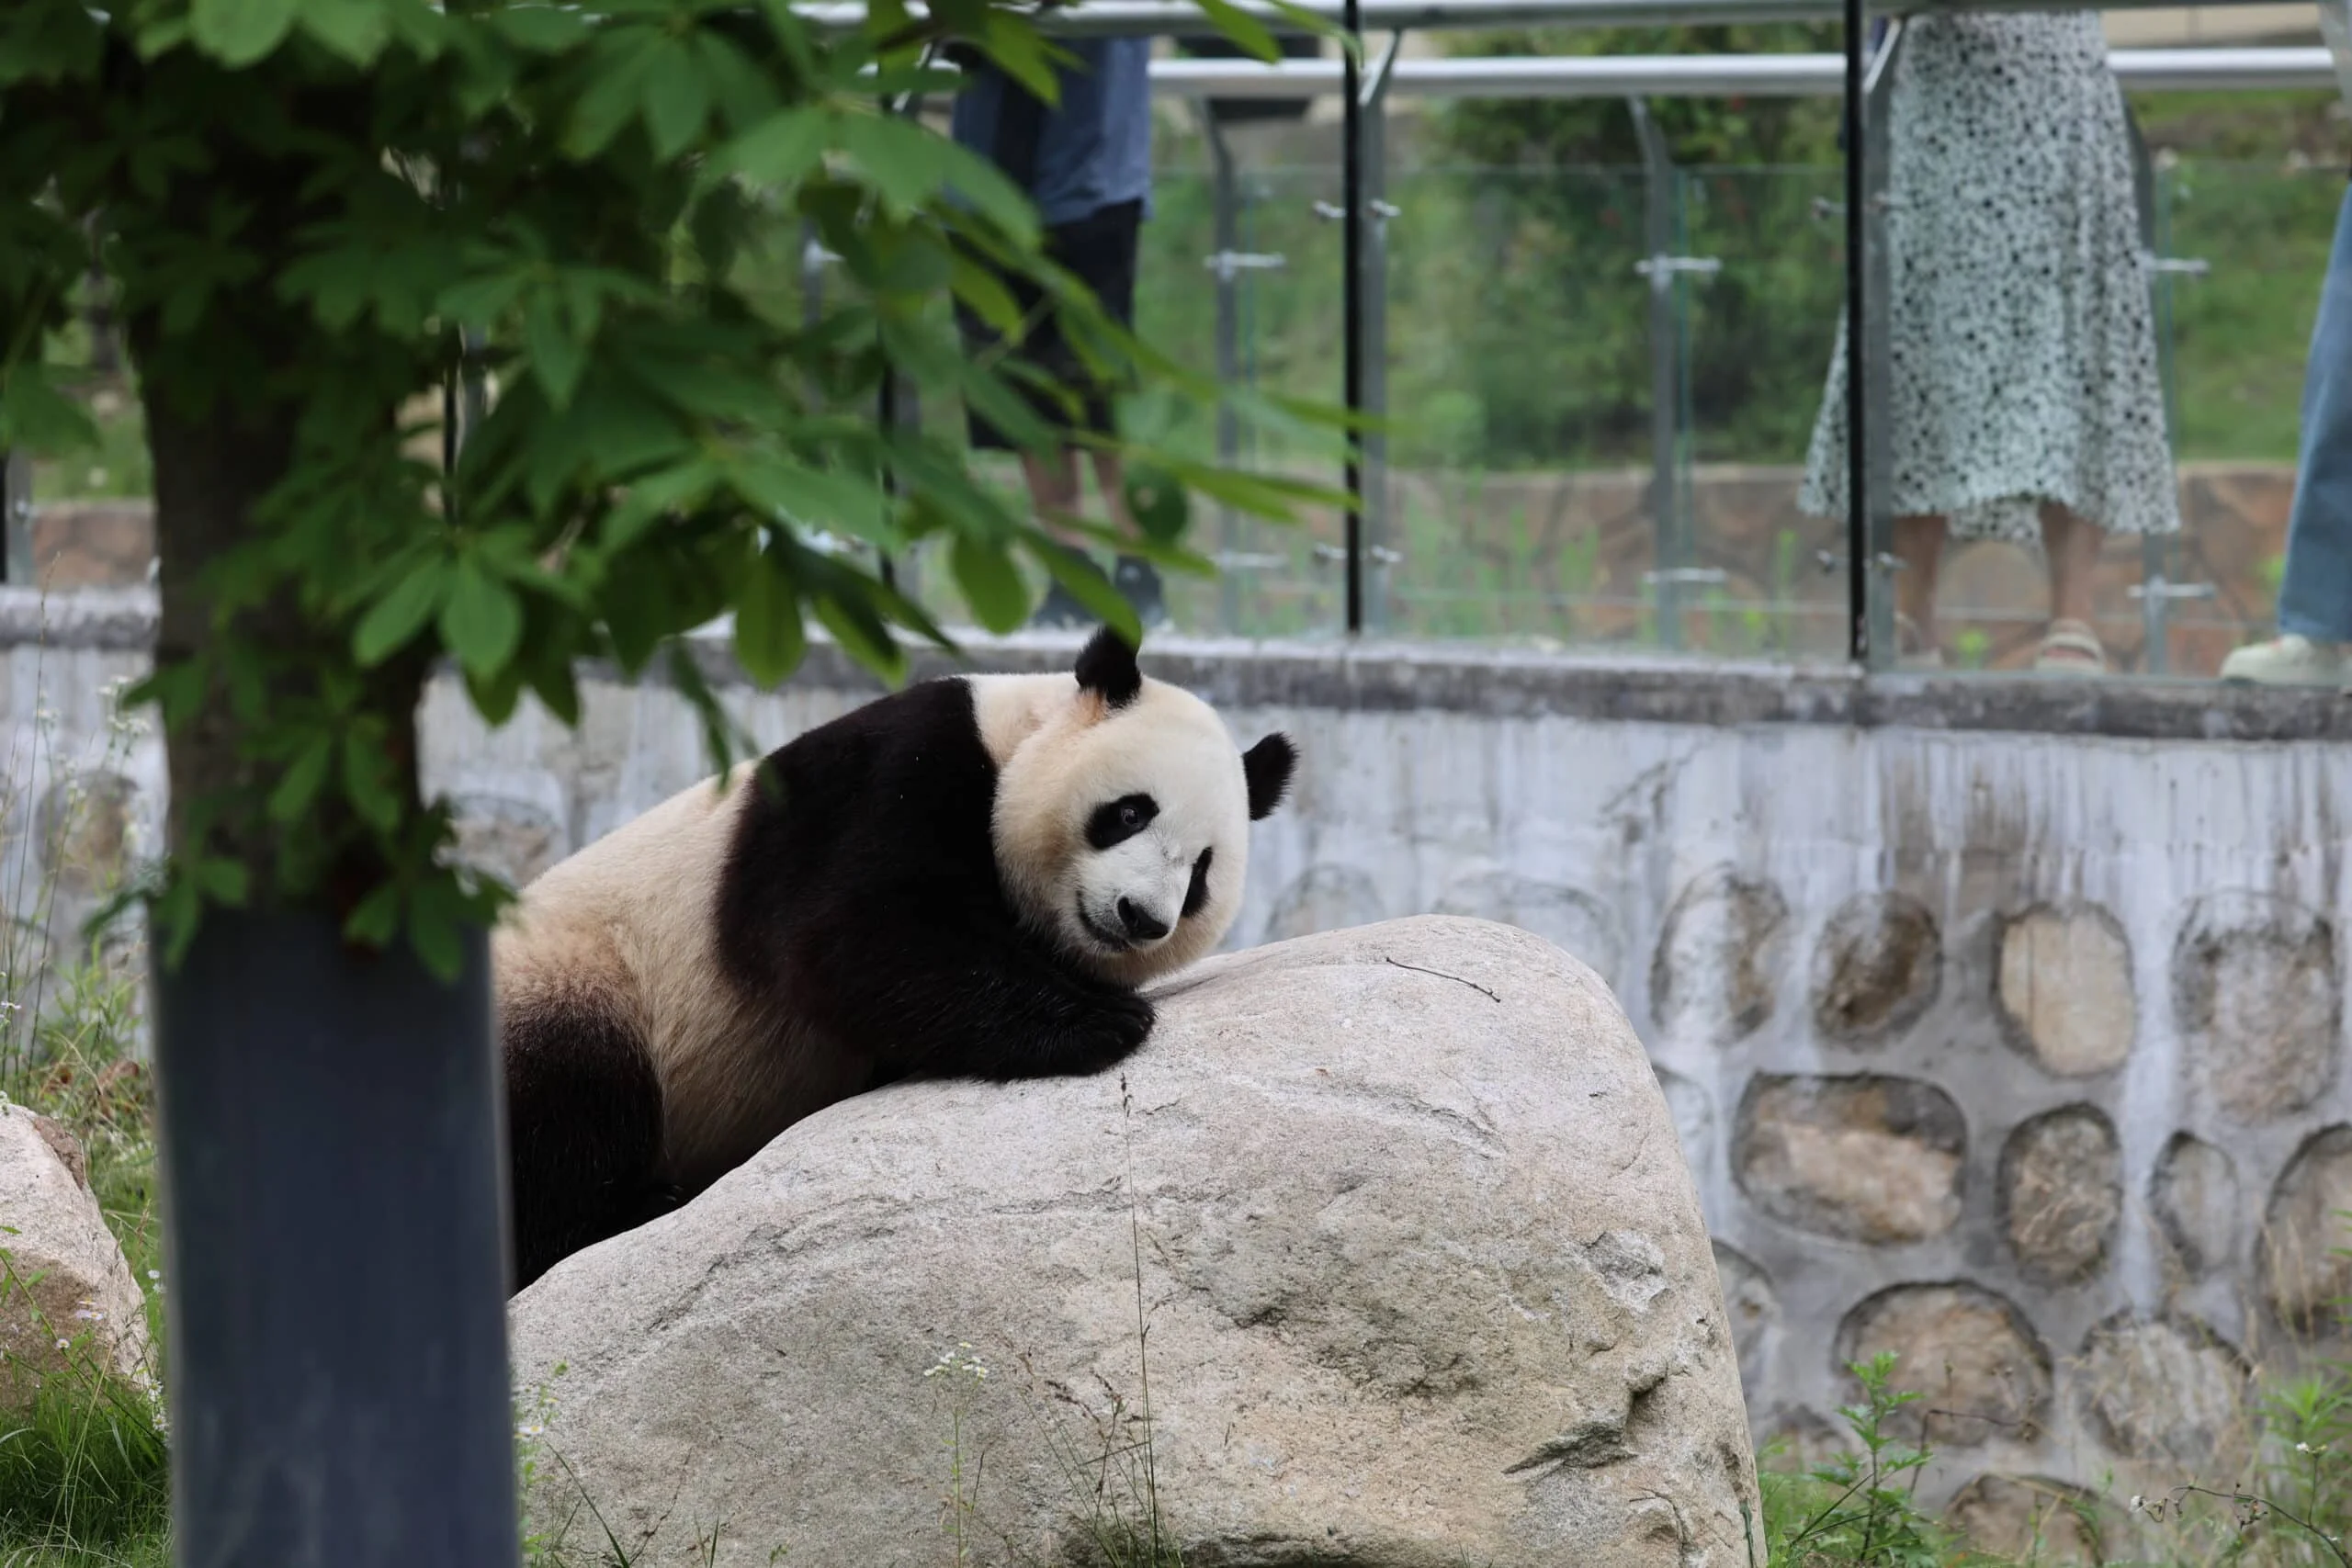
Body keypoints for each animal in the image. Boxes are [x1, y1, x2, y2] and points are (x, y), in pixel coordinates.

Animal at [496, 625, 1297, 1291]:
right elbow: (853, 932)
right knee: (560, 1117)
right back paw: (630, 1207)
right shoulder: (888, 769)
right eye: (1129, 812)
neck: (1013, 736)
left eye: (1201, 873)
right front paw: (1104, 1019)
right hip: (574, 979)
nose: (1141, 917)